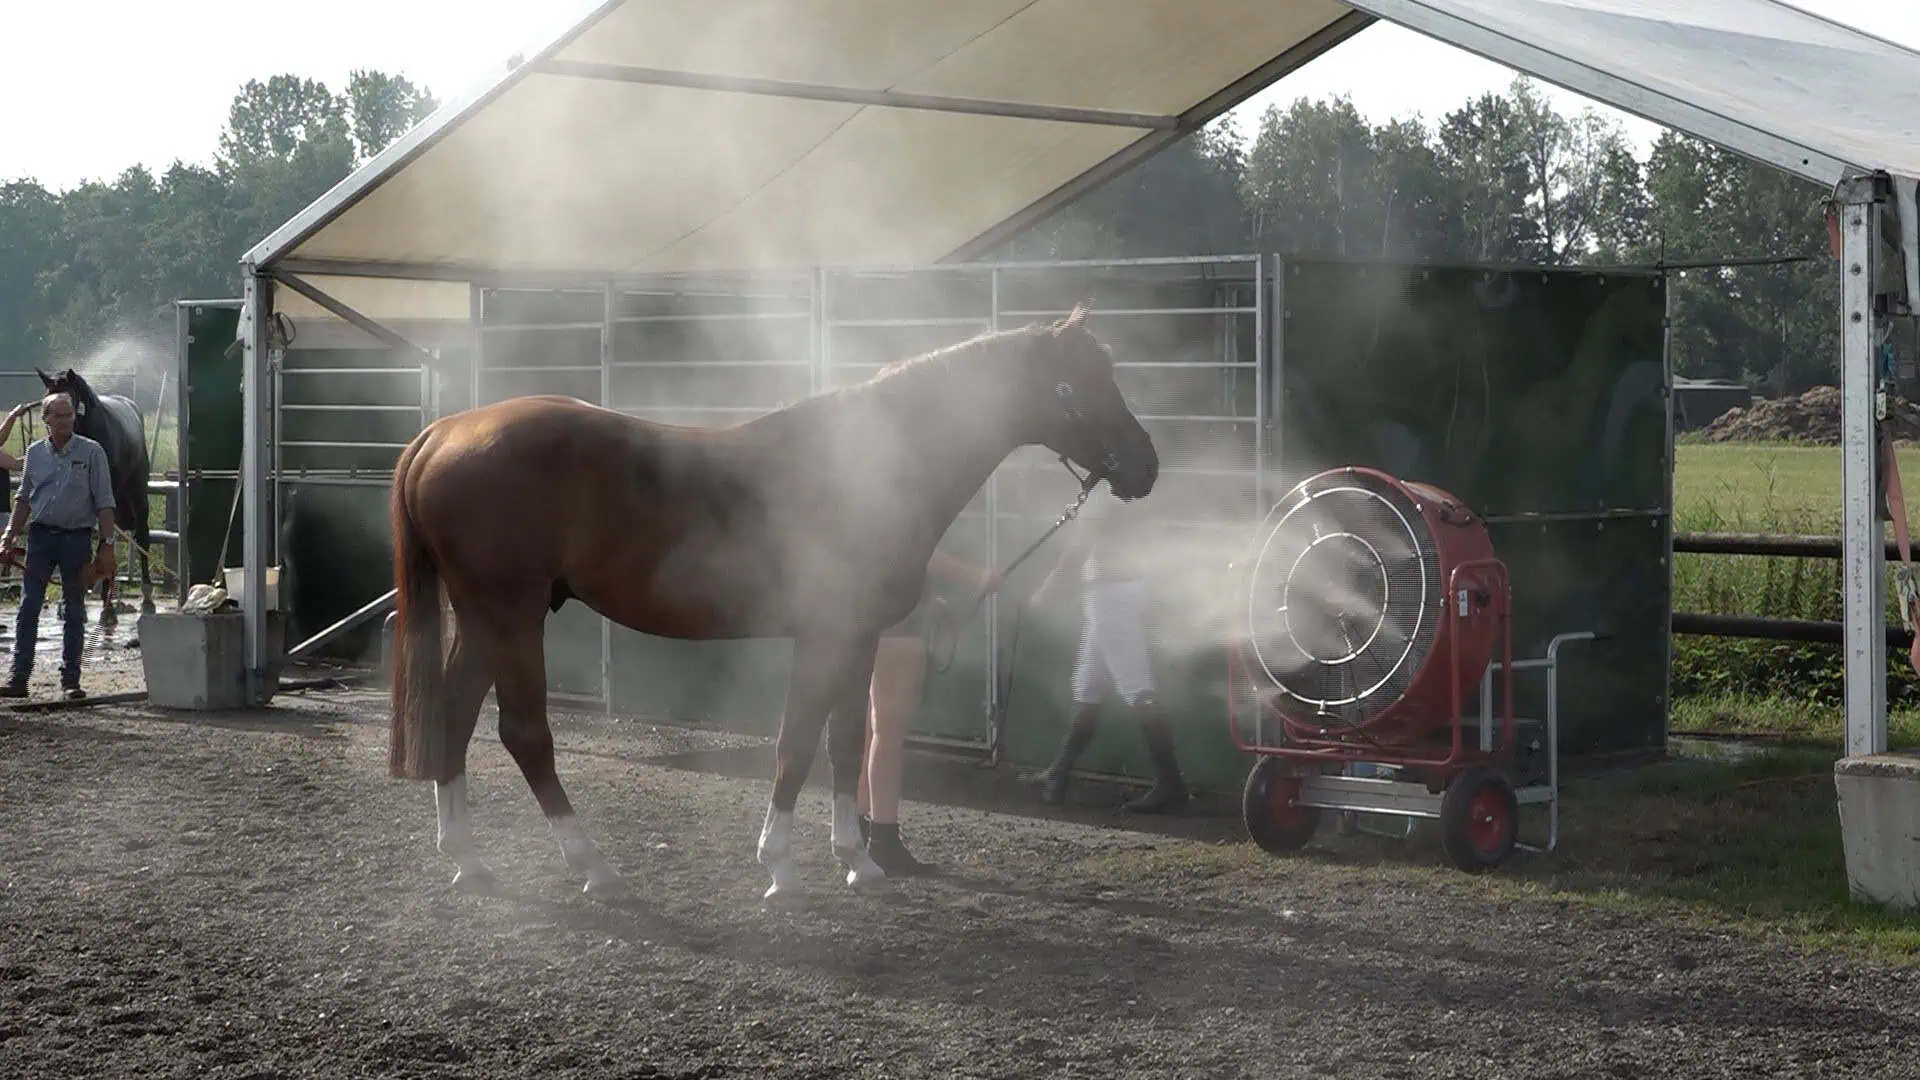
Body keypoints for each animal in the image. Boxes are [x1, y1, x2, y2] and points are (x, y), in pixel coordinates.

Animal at [36, 367, 156, 625]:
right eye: (45, 403)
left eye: (68, 401)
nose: (54, 436)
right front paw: (71, 603)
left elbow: (102, 539)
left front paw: (107, 607)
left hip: (137, 494)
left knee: (142, 535)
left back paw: (146, 597)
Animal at [386, 301, 1159, 901]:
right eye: (1075, 384)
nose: (1146, 466)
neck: (871, 465)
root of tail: (442, 433)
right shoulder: (822, 636)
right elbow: (796, 743)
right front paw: (780, 868)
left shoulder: (860, 637)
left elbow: (845, 744)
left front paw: (858, 862)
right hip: (512, 617)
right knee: (525, 735)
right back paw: (594, 868)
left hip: (484, 619)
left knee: (454, 715)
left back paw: (468, 860)